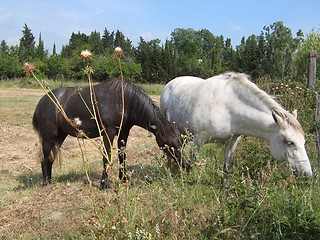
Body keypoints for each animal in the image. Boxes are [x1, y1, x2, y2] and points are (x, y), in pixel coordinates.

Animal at [33, 78, 188, 188]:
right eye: (167, 143)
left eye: (180, 141)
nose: (186, 165)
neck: (122, 100)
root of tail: (41, 102)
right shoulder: (108, 132)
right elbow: (106, 156)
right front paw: (104, 183)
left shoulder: (124, 132)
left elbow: (122, 155)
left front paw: (123, 178)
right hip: (49, 137)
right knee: (44, 157)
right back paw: (45, 182)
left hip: (60, 136)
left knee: (50, 157)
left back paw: (50, 180)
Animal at [160, 71, 312, 176]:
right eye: (289, 142)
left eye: (303, 142)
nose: (307, 173)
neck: (227, 106)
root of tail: (171, 83)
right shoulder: (198, 140)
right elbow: (194, 164)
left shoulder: (233, 140)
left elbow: (226, 167)